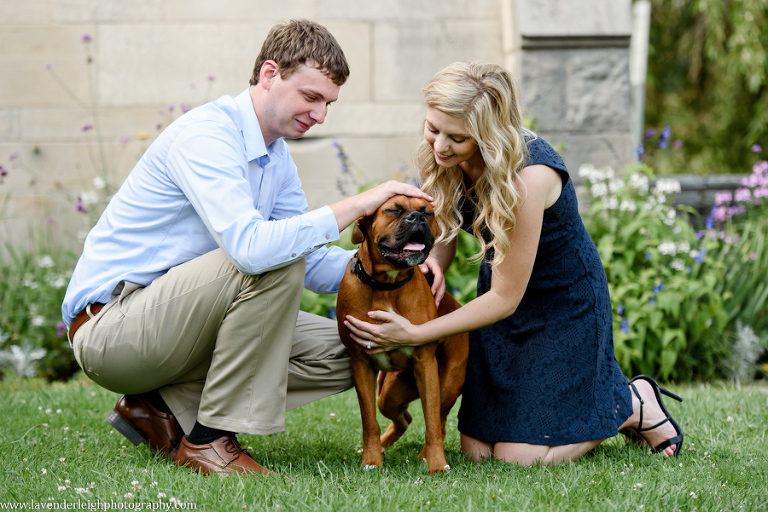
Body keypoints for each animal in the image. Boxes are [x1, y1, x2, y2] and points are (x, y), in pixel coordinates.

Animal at [336, 194, 468, 474]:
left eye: (427, 212)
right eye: (393, 210)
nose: (416, 218)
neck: (387, 285)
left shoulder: (426, 365)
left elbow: (431, 422)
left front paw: (437, 464)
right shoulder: (361, 364)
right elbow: (369, 422)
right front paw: (371, 460)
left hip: (447, 385)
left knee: (439, 420)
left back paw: (426, 455)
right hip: (389, 395)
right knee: (404, 418)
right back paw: (384, 447)